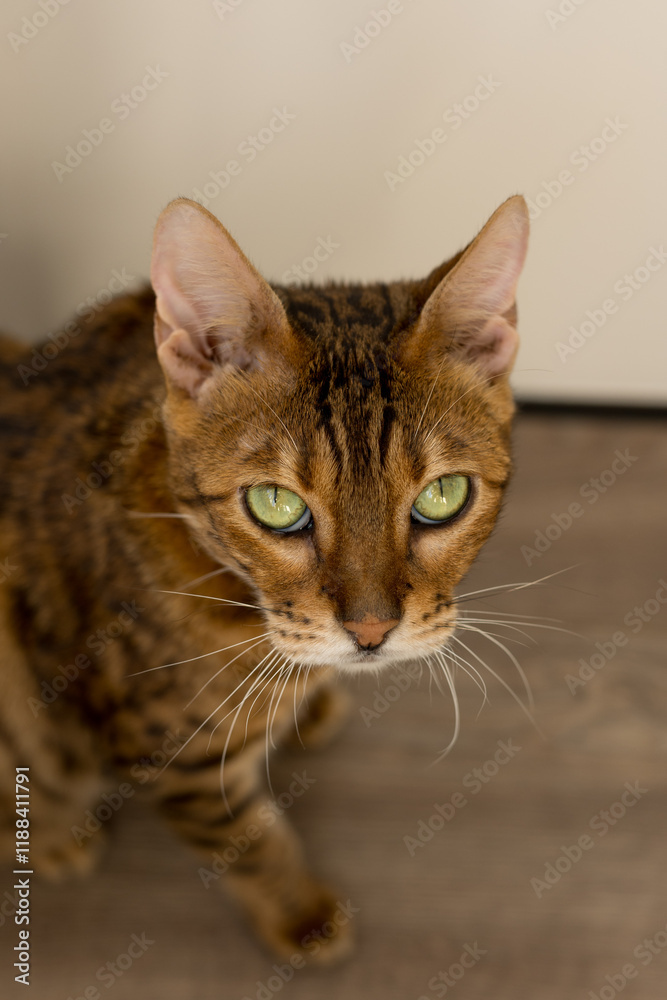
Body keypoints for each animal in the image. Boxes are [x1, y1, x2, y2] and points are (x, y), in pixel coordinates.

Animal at [0, 193, 528, 960]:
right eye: (276, 505)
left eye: (442, 495)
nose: (372, 630)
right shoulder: (173, 751)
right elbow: (247, 840)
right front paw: (297, 910)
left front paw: (308, 705)